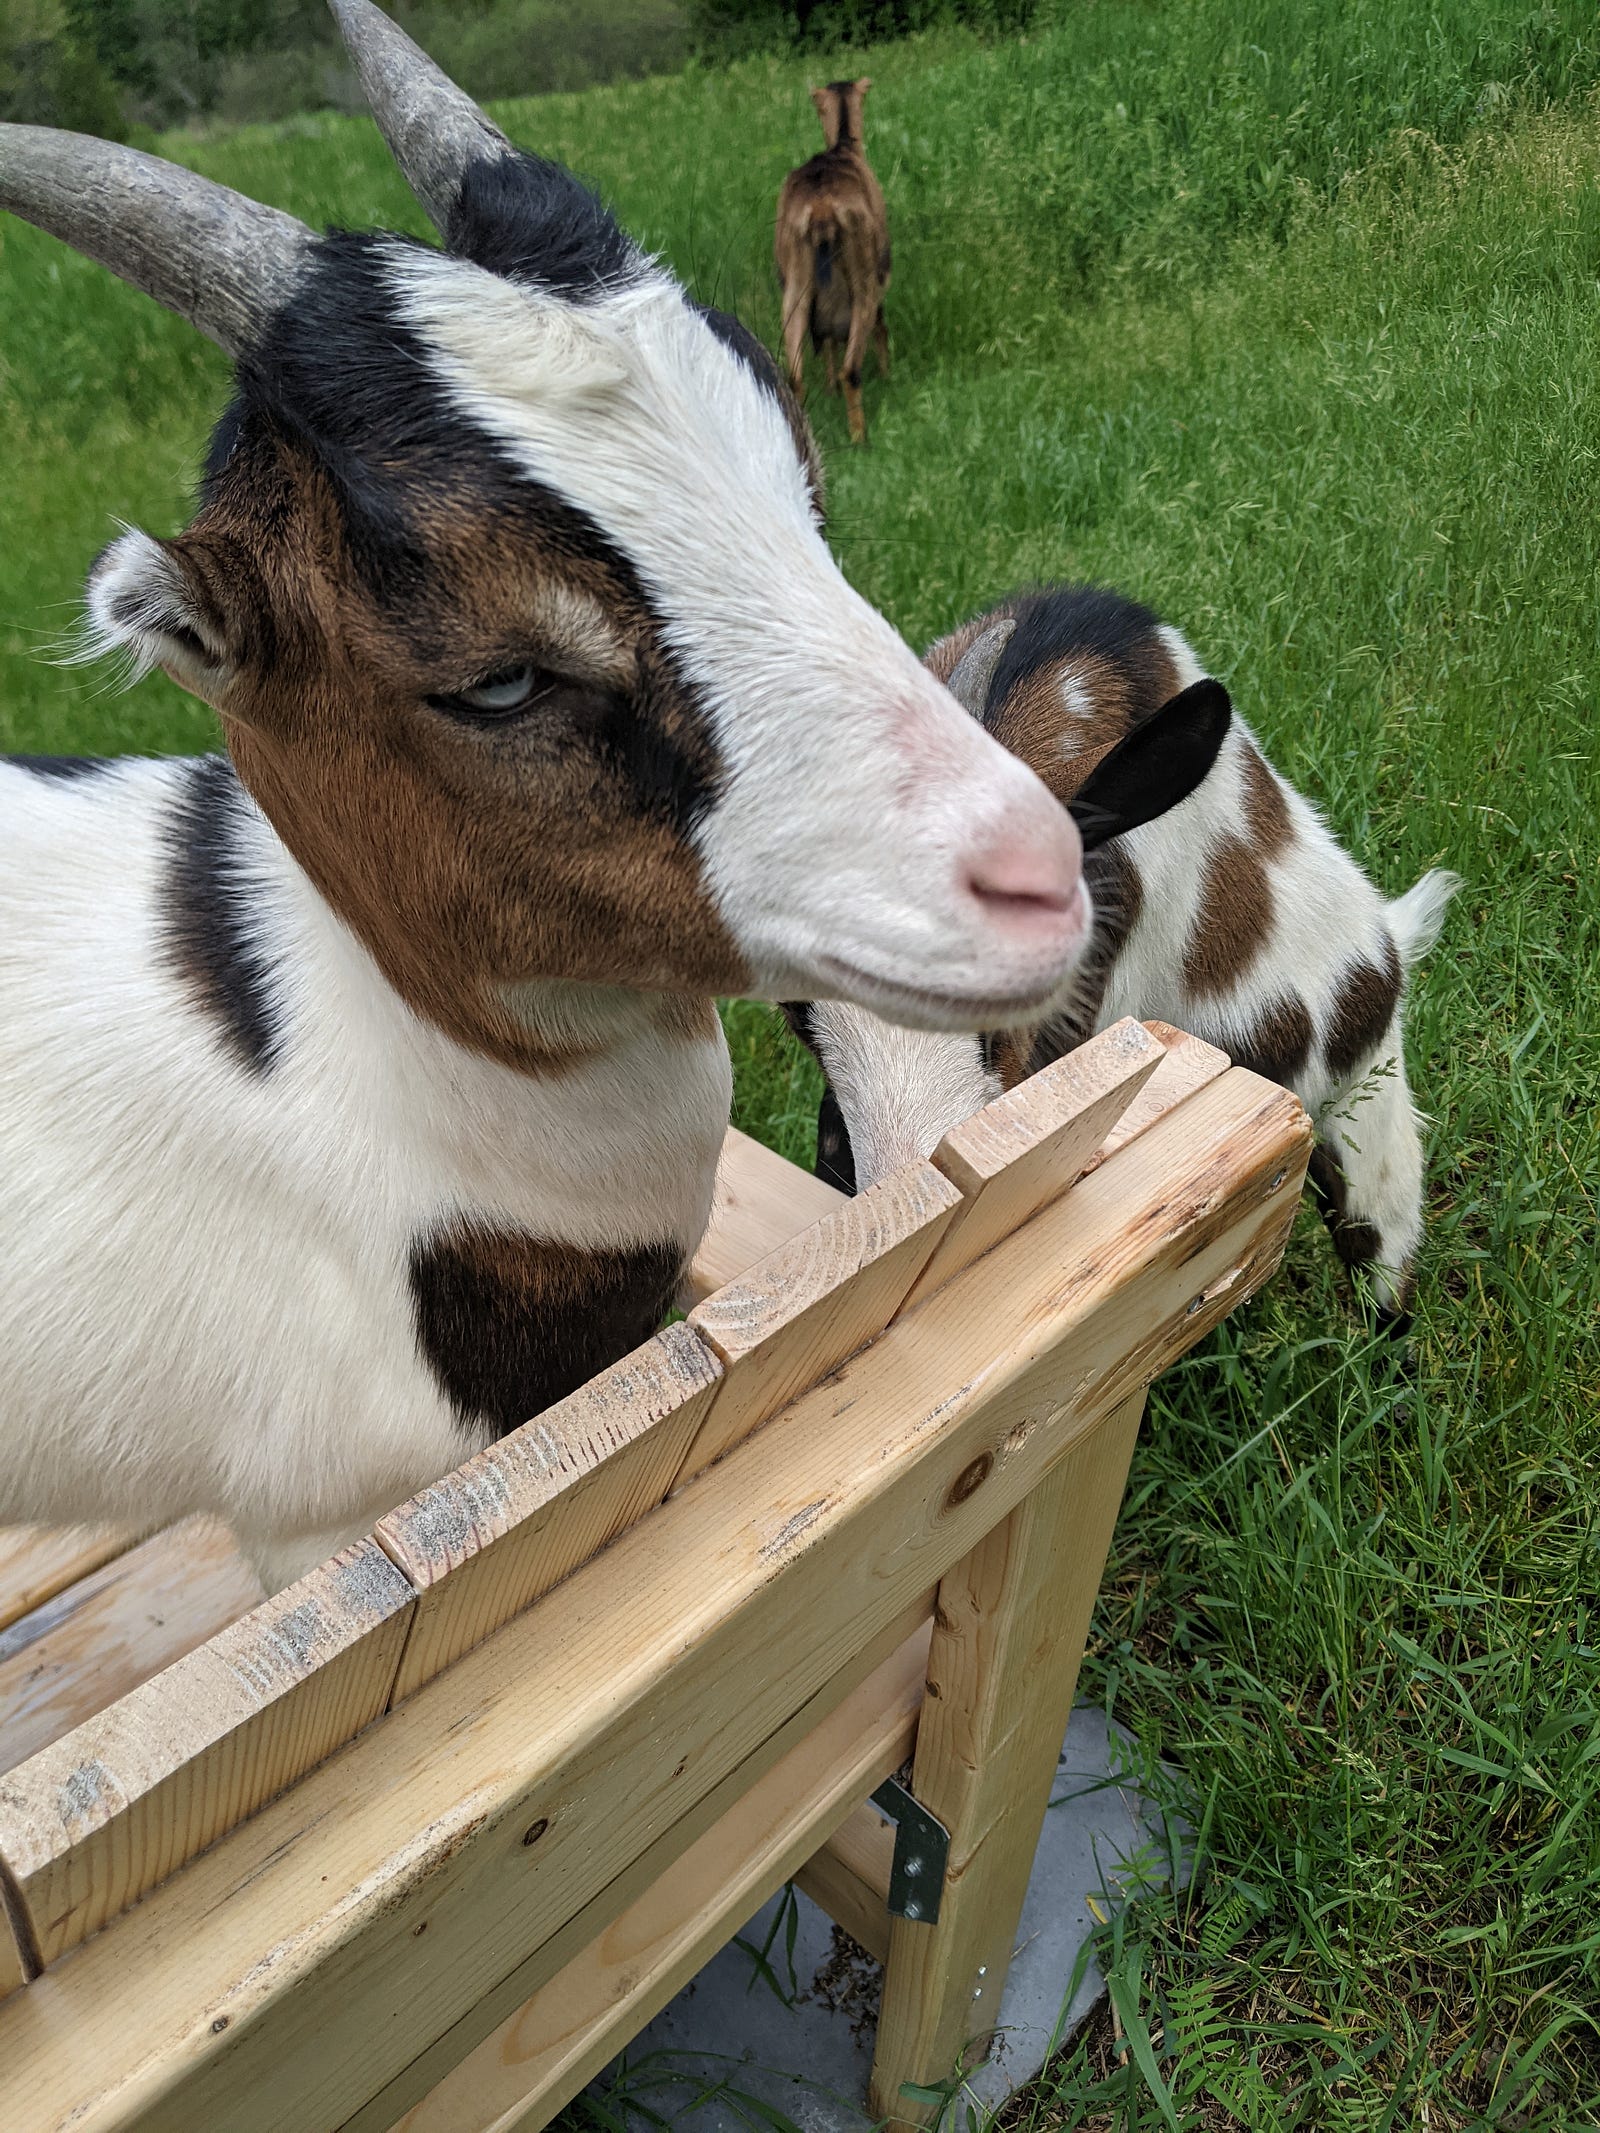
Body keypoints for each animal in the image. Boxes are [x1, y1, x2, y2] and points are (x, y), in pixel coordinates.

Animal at [775, 78, 891, 445]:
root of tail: (822, 209)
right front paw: (888, 375)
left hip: (795, 285)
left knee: (795, 376)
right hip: (863, 276)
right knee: (851, 369)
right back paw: (858, 437)